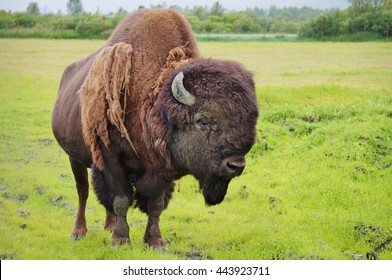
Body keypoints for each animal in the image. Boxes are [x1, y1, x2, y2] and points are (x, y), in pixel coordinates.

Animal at [52, 8, 260, 248]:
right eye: (202, 121)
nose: (236, 165)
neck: (152, 101)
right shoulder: (111, 159)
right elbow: (121, 200)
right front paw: (121, 240)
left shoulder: (162, 168)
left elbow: (155, 205)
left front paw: (155, 241)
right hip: (74, 157)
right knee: (83, 191)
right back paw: (78, 232)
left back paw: (109, 226)